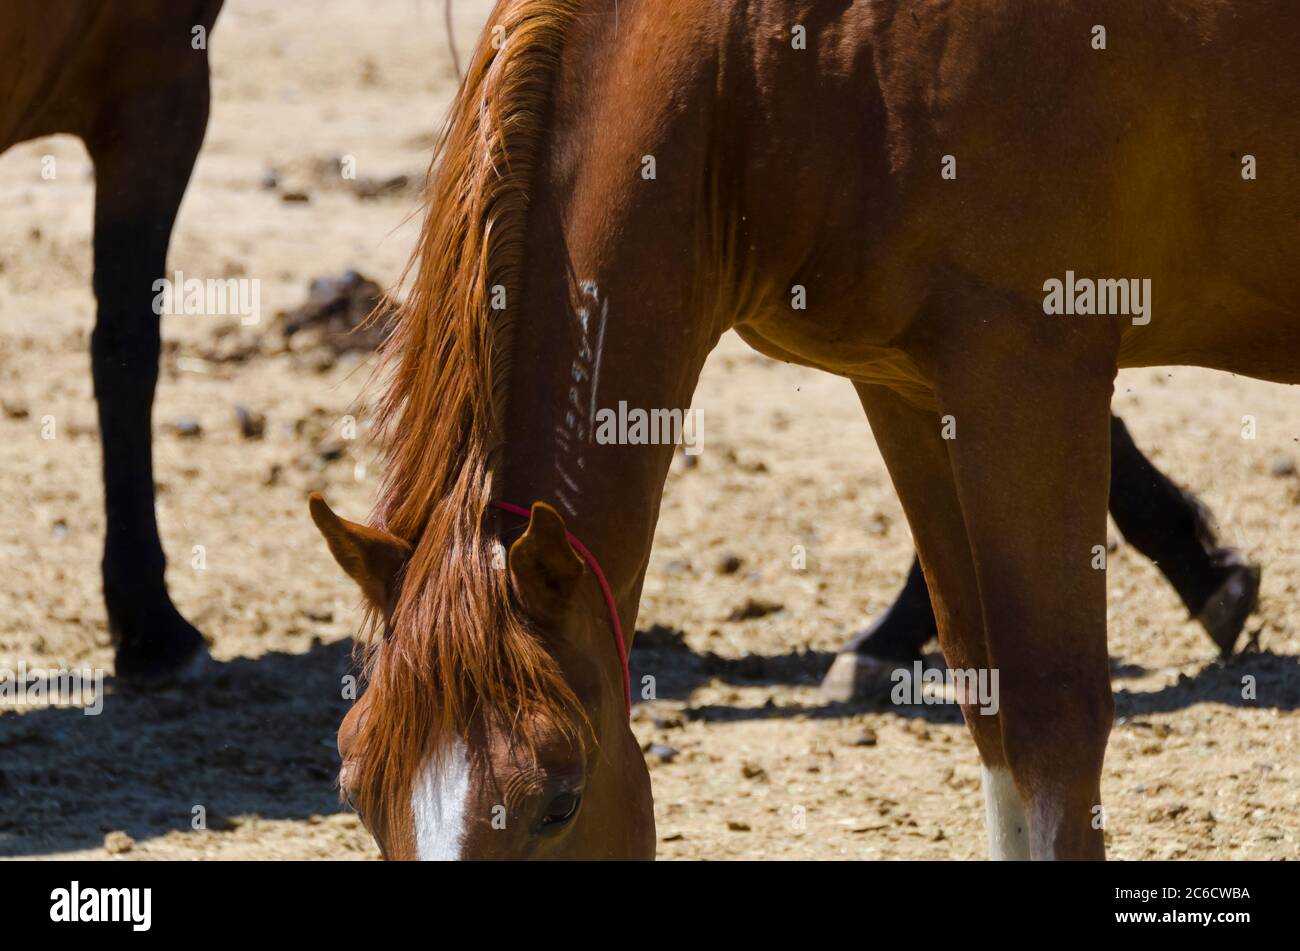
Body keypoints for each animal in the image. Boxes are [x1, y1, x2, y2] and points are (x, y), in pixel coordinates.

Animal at [309, 0, 1294, 862]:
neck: (756, 63)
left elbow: (1053, 720)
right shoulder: (905, 388)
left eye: (559, 798)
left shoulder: (1029, 369)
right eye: (358, 789)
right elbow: (986, 698)